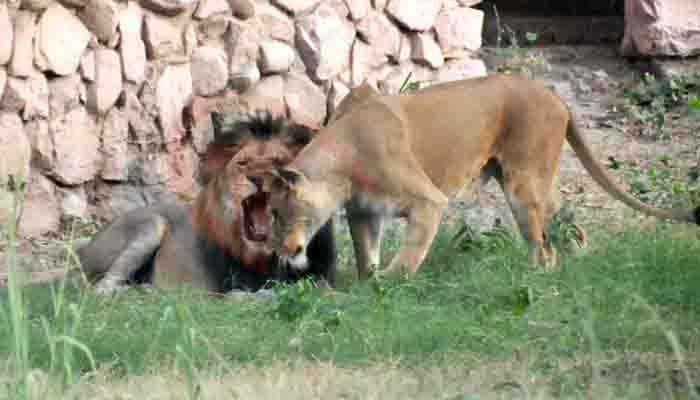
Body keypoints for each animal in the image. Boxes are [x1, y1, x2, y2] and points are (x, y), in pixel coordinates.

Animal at [76, 111, 336, 294]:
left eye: (279, 162)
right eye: (243, 163)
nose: (257, 178)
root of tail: (85, 248)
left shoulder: (323, 275)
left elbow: (322, 287)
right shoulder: (229, 288)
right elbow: (251, 295)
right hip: (151, 224)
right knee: (99, 288)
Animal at [264, 73, 700, 280]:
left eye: (279, 214)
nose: (278, 251)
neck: (341, 164)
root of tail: (553, 93)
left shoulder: (427, 201)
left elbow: (407, 256)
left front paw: (387, 284)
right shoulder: (364, 213)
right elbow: (364, 255)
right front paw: (366, 284)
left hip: (523, 184)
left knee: (542, 249)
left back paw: (533, 276)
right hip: (535, 182)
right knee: (568, 223)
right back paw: (578, 262)